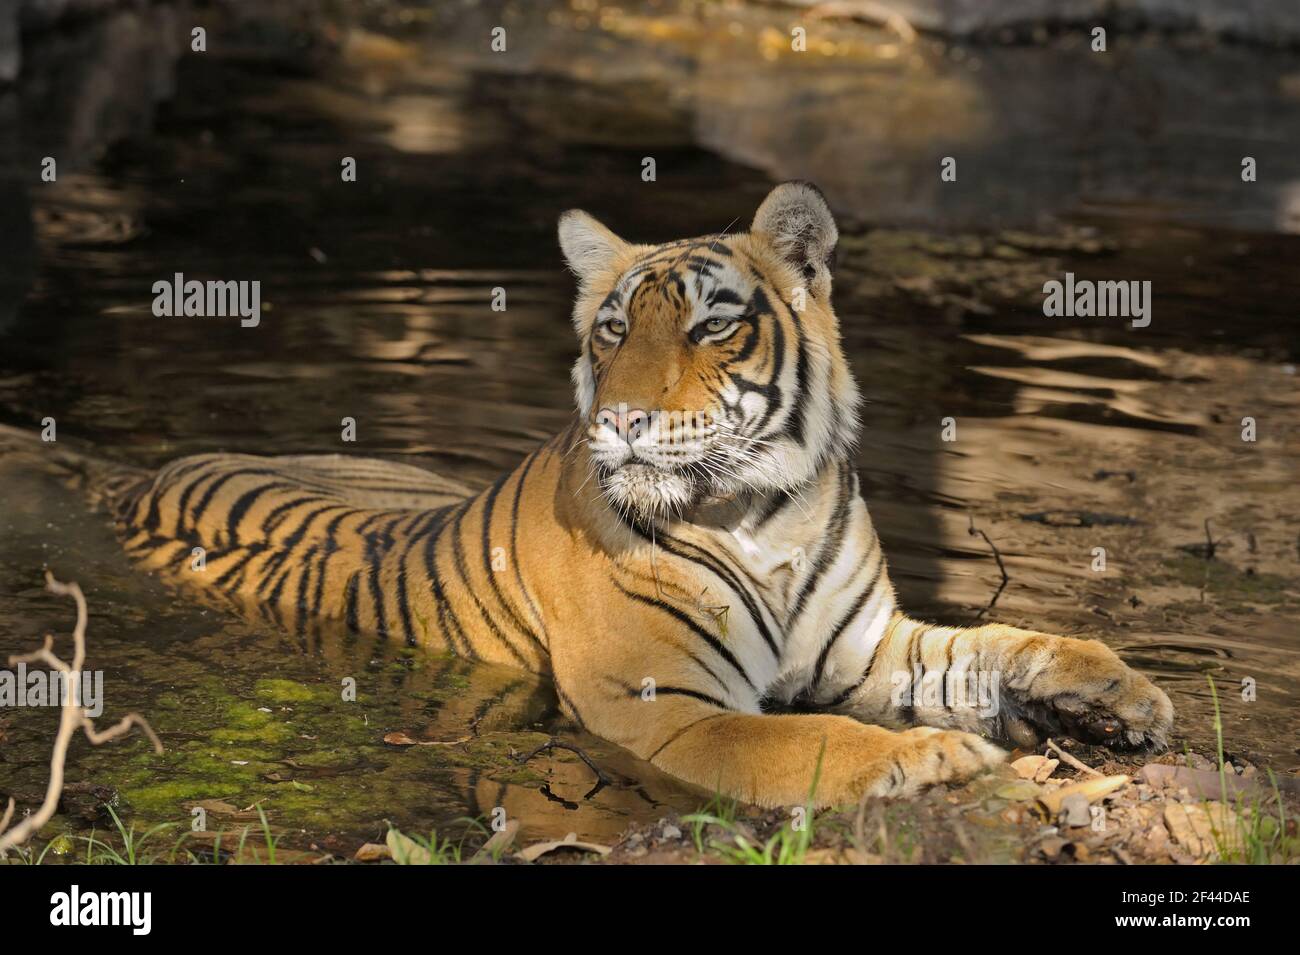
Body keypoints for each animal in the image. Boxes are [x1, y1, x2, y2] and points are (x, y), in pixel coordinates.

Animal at [106, 183, 1175, 810]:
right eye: (614, 329)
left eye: (710, 326)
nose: (620, 418)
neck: (765, 513)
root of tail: (142, 476)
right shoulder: (669, 710)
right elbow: (809, 739)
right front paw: (930, 760)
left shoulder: (866, 648)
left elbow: (995, 644)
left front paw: (1122, 690)